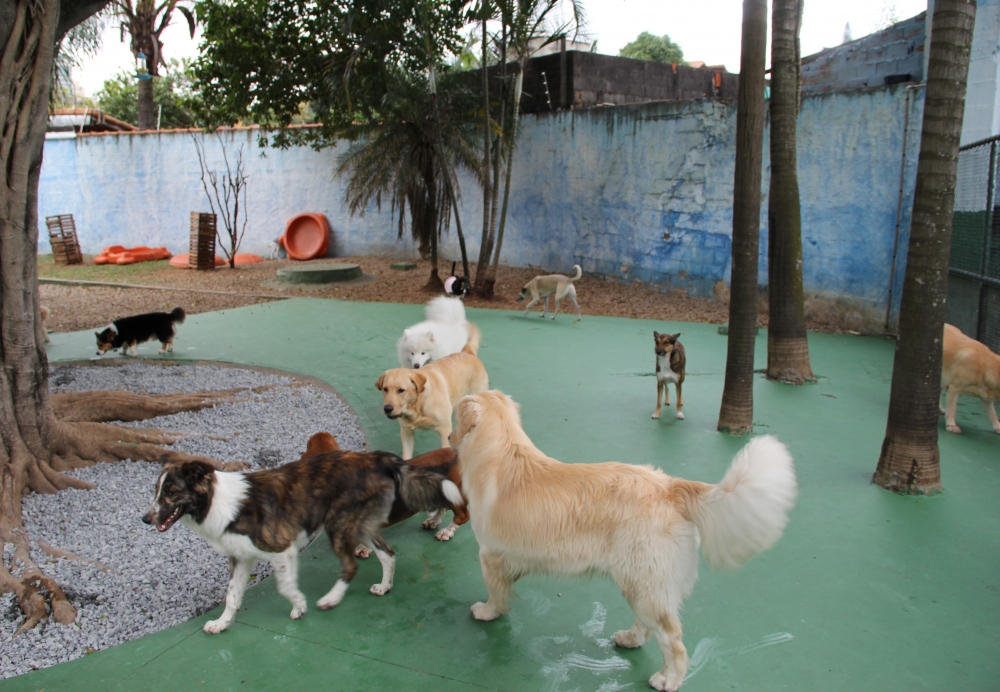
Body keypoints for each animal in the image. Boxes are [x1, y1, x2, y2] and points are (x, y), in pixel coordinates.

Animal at [143, 452, 462, 636]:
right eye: (156, 490)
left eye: (172, 491)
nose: (145, 519)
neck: (218, 502)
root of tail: (379, 459)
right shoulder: (240, 558)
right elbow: (232, 596)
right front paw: (222, 623)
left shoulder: (280, 549)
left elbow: (285, 587)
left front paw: (299, 607)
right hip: (357, 525)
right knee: (388, 555)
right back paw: (384, 586)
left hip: (338, 526)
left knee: (351, 566)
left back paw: (331, 599)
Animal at [378, 328, 488, 462]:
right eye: (385, 389)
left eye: (401, 390)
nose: (387, 409)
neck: (419, 405)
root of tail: (468, 353)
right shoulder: (406, 432)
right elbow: (407, 457)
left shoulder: (445, 431)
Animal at [452, 392, 796, 688]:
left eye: (455, 417)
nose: (449, 437)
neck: (501, 451)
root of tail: (672, 487)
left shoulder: (489, 555)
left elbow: (496, 591)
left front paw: (488, 611)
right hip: (643, 582)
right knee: (647, 626)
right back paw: (629, 640)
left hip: (643, 581)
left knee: (673, 640)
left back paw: (668, 679)